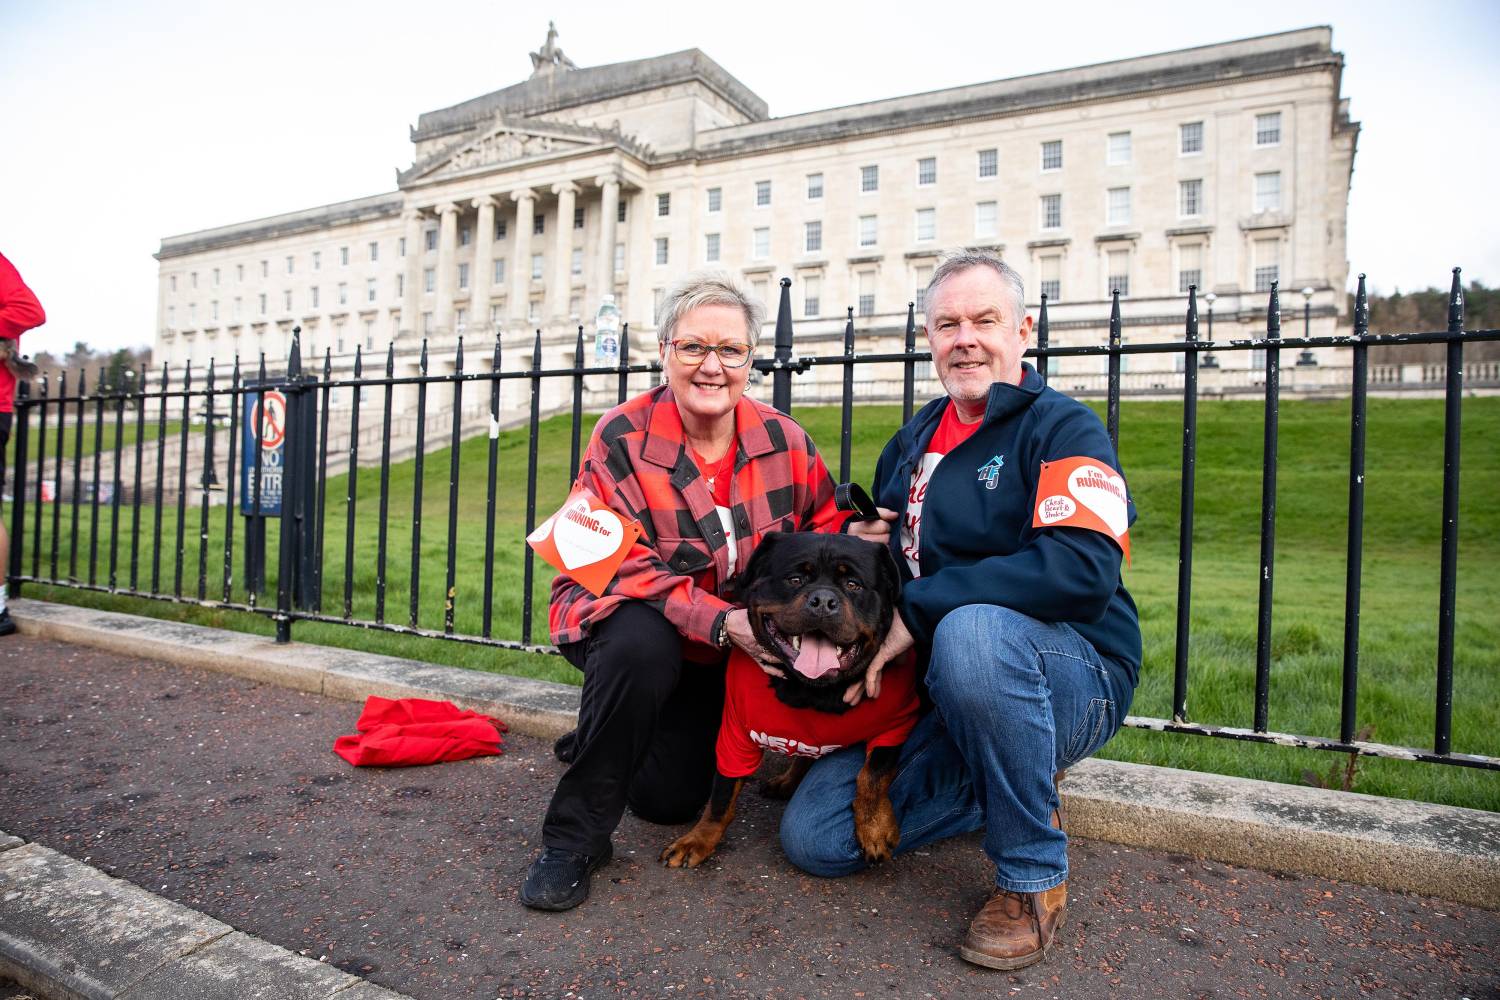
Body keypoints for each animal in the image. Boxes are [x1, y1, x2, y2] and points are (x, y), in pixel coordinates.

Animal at [660, 531, 919, 869]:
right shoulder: (735, 732)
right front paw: (699, 838)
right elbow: (722, 792)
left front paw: (874, 826)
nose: (823, 601)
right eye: (795, 579)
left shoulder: (897, 722)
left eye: (853, 585)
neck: (811, 690)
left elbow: (873, 775)